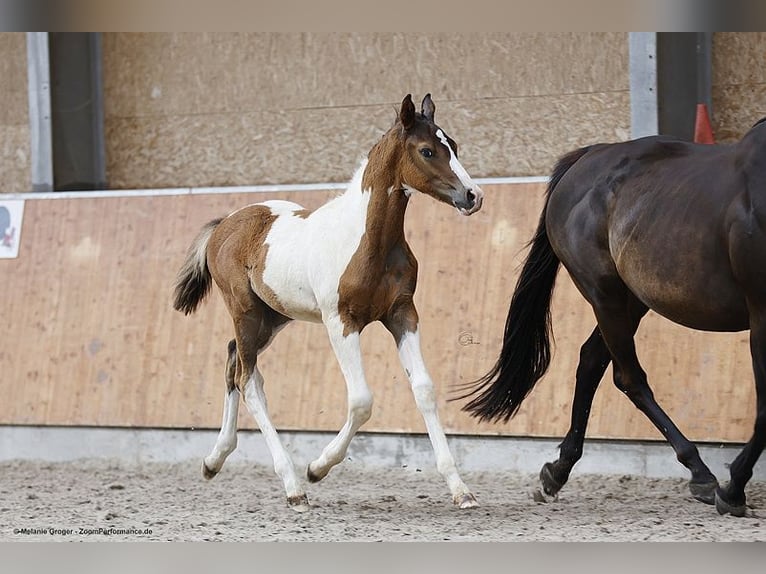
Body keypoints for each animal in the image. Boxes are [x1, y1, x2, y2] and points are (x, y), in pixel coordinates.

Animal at [177, 94, 484, 512]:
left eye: (453, 145)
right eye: (427, 150)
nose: (473, 196)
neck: (367, 240)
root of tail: (225, 222)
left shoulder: (403, 313)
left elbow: (423, 389)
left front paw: (460, 489)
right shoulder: (341, 321)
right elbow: (362, 400)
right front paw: (317, 468)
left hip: (273, 317)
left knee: (233, 361)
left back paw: (213, 461)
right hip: (245, 311)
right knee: (248, 380)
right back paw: (294, 487)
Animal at [462, 118, 766, 520]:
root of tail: (589, 156)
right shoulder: (761, 316)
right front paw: (733, 492)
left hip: (630, 301)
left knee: (591, 360)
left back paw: (556, 473)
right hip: (606, 297)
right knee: (628, 377)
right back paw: (700, 474)